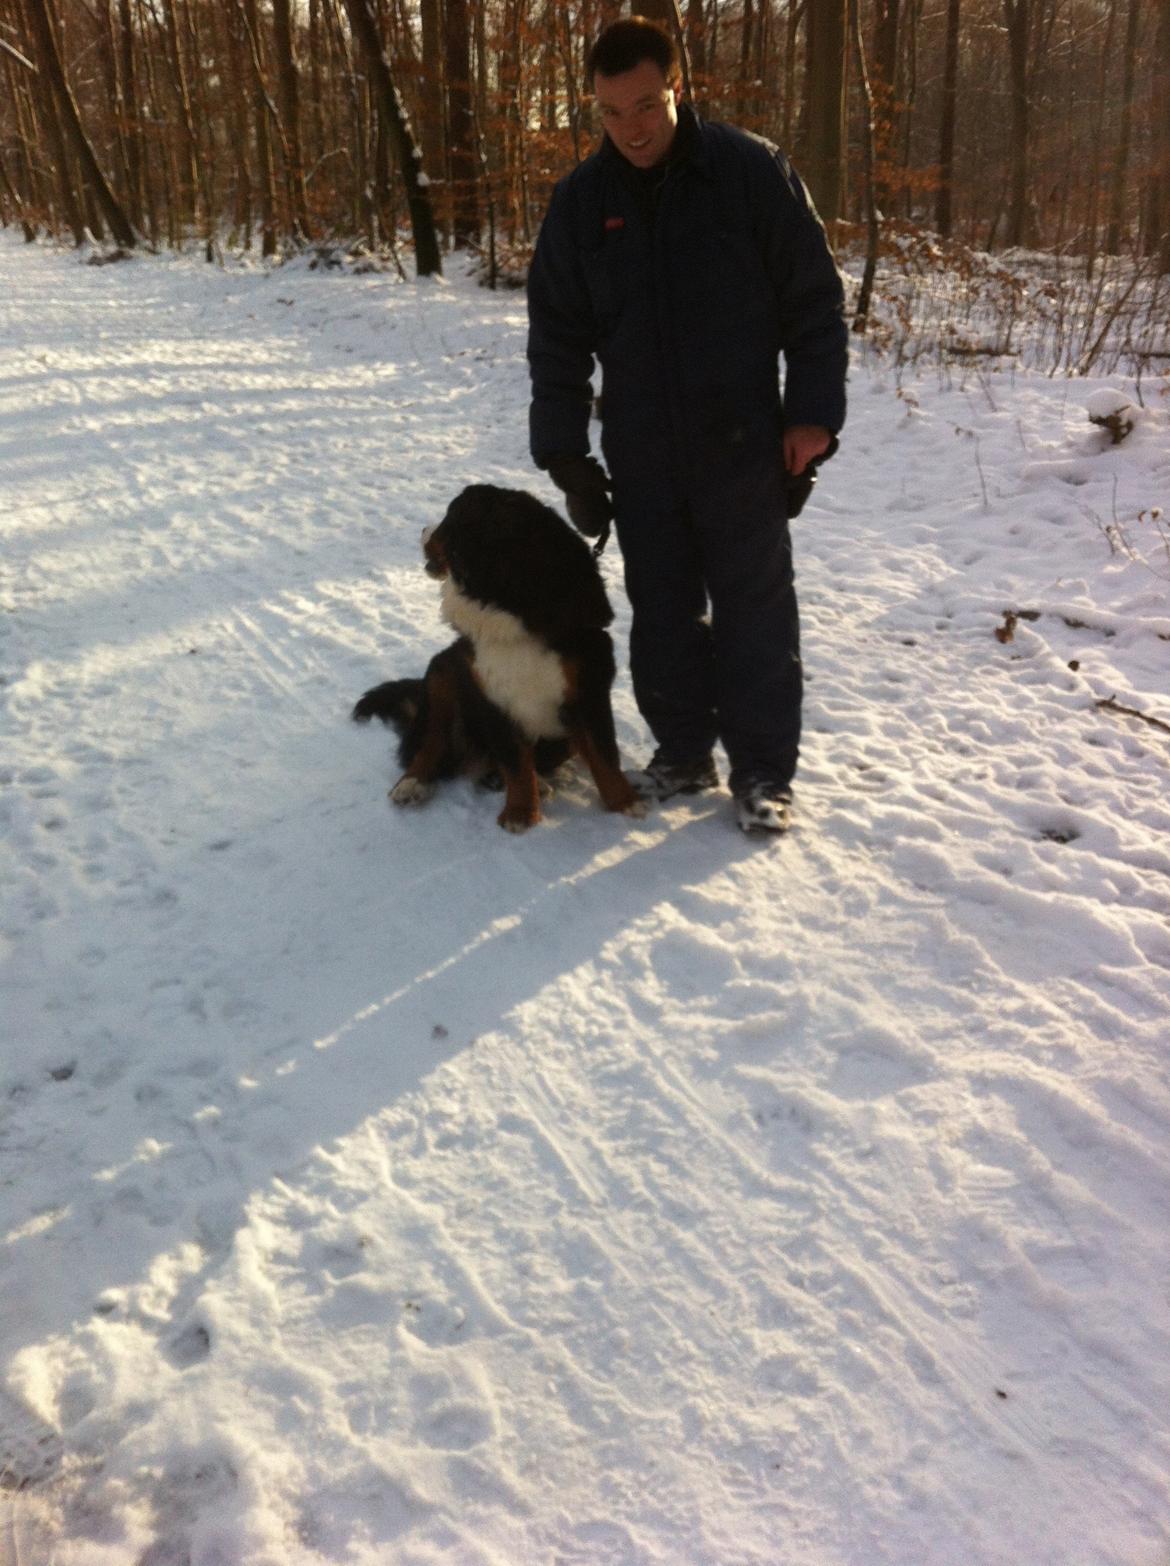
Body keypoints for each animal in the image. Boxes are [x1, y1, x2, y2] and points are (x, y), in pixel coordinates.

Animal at [353, 485, 648, 833]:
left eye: (449, 518)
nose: (423, 529)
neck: (506, 598)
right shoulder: (493, 696)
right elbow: (515, 762)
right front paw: (520, 812)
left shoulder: (588, 687)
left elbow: (604, 754)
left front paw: (625, 803)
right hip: (443, 673)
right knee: (431, 742)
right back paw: (411, 784)